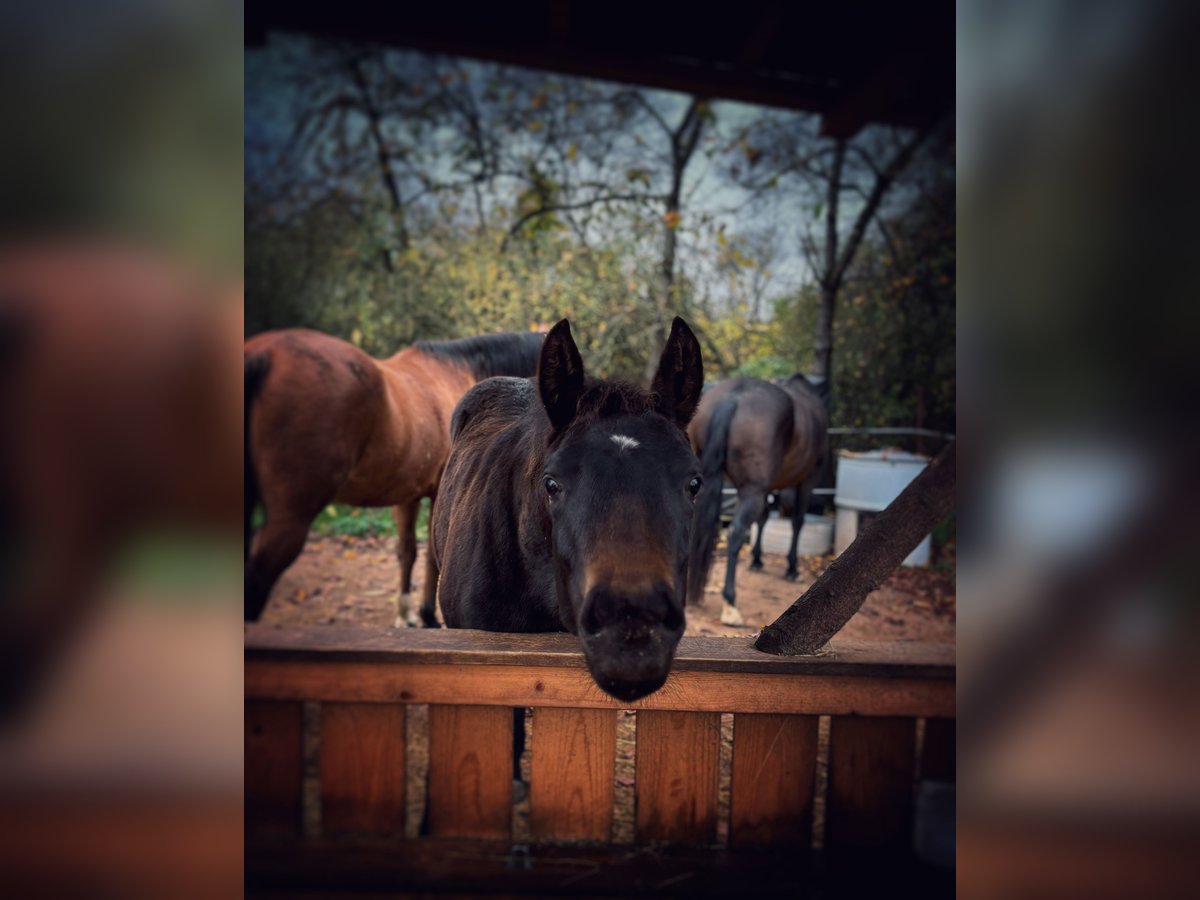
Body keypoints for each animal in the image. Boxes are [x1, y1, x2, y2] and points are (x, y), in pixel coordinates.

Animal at [243, 331, 544, 628]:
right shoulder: (437, 493)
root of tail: (263, 355)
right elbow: (430, 555)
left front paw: (406, 613)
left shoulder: (408, 496)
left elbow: (407, 551)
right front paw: (427, 615)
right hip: (292, 517)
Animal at [686, 374, 825, 628]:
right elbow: (797, 522)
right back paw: (730, 603)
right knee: (736, 532)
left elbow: (763, 520)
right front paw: (792, 568)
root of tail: (733, 396)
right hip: (753, 491)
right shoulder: (808, 480)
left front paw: (757, 560)